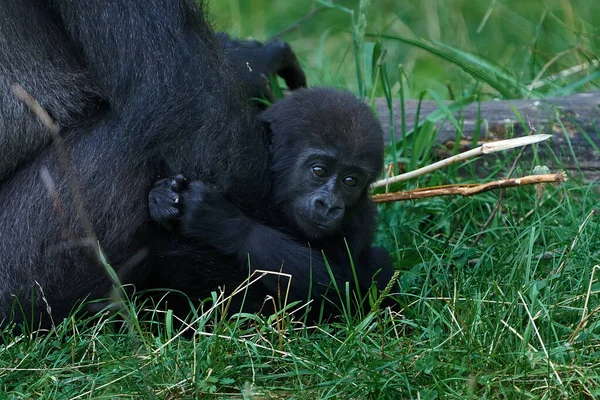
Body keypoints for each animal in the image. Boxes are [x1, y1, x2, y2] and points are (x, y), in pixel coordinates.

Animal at [148, 87, 396, 318]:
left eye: (350, 181)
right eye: (319, 171)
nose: (329, 205)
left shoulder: (360, 221)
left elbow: (335, 287)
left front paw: (222, 221)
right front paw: (162, 197)